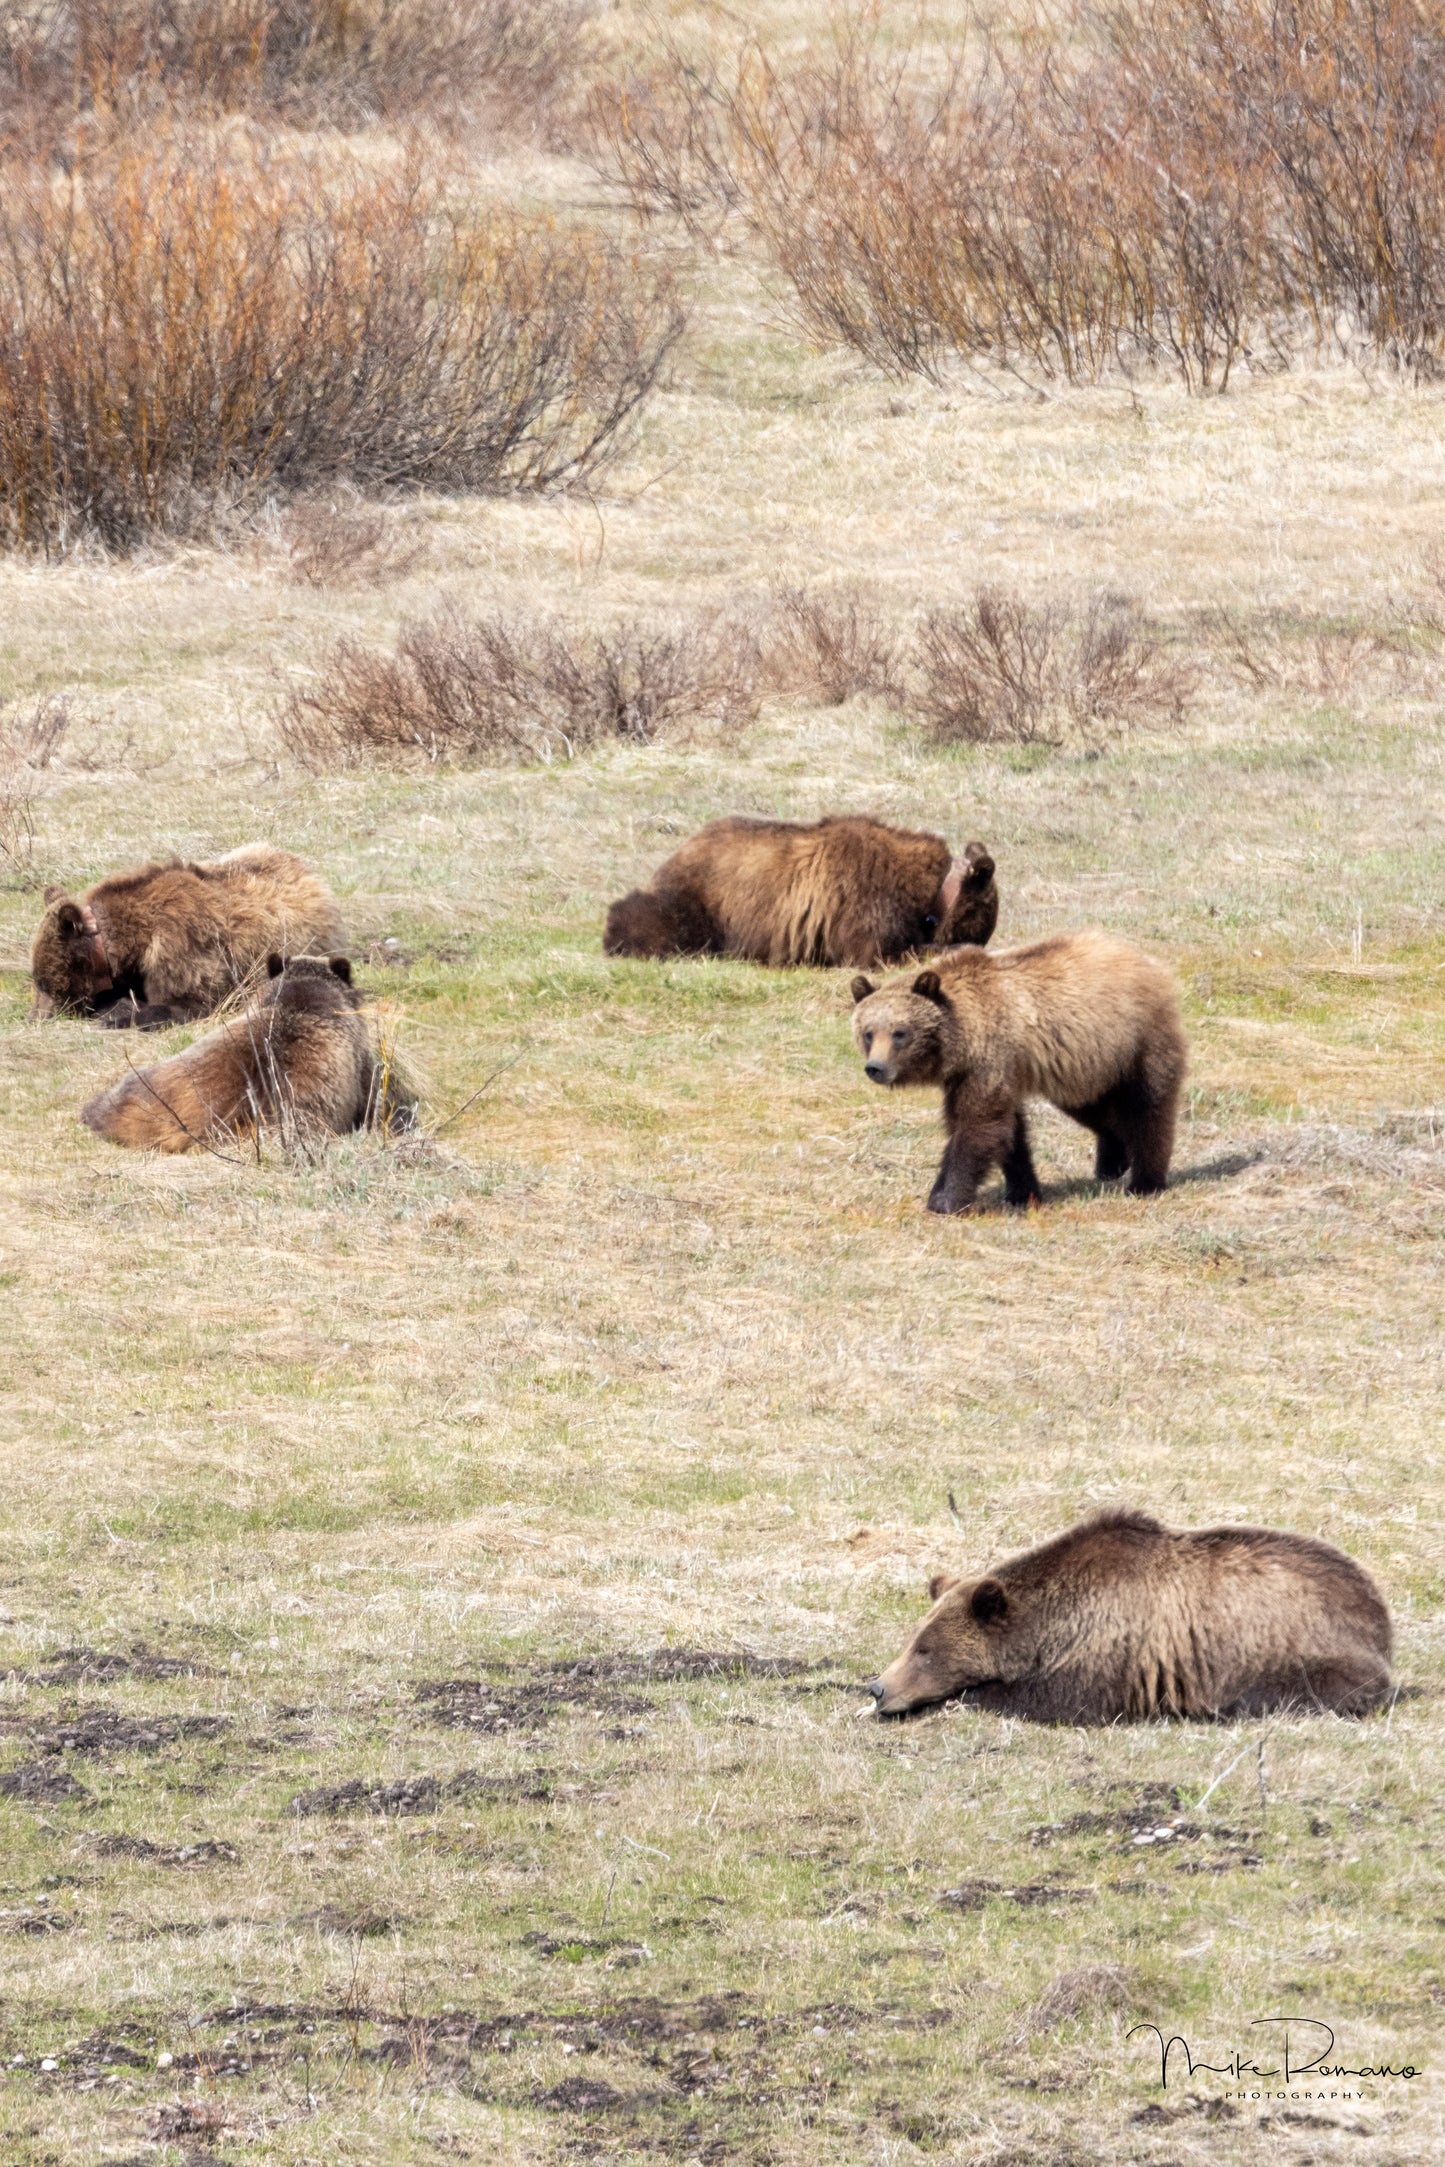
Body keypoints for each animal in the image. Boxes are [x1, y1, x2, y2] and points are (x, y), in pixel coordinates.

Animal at [31, 843, 346, 1030]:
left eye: (42, 982)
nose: (36, 1016)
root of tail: (312, 875)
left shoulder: (181, 954)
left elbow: (181, 1004)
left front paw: (115, 1014)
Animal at [603, 815, 998, 968]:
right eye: (982, 926)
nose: (979, 940)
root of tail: (682, 848)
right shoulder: (866, 901)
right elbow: (878, 952)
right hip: (704, 900)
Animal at [851, 927, 1187, 1212]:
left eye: (899, 1032)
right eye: (869, 1032)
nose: (875, 1068)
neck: (962, 1038)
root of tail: (1146, 959)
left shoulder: (989, 1061)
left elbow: (977, 1127)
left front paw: (945, 1199)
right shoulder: (970, 1075)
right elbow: (1007, 1133)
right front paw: (1023, 1193)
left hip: (1137, 1041)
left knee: (1147, 1108)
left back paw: (1145, 1182)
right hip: (1087, 1062)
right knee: (1094, 1106)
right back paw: (1112, 1161)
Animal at [868, 1509, 1393, 1723]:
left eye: (924, 1650)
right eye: (913, 1641)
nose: (878, 1687)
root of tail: (1378, 1609)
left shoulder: (1112, 1652)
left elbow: (1056, 1701)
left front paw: (967, 1696)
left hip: (1297, 1648)